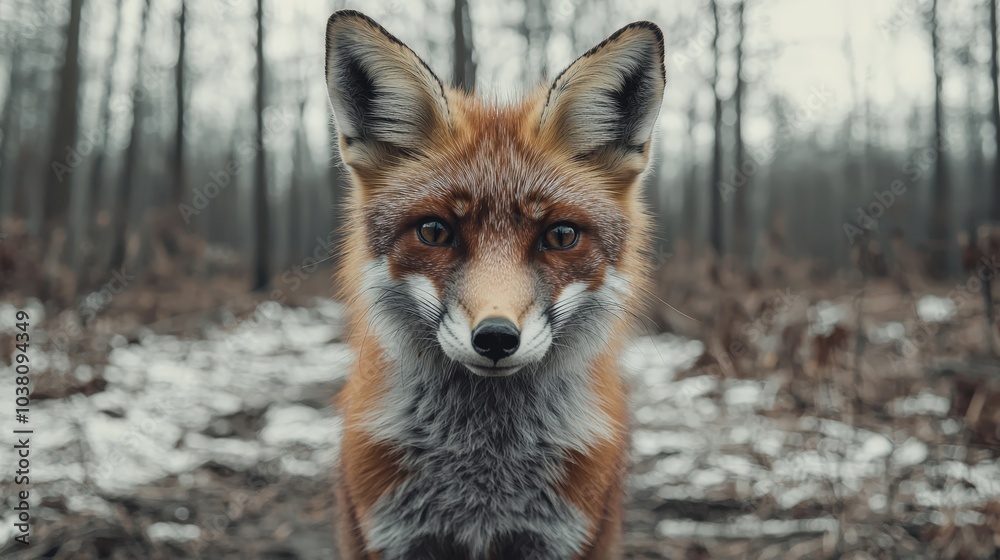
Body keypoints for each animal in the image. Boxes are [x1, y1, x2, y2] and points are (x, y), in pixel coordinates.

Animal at [325, 9, 665, 560]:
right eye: (434, 231)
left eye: (561, 235)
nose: (497, 339)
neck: (483, 473)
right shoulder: (395, 534)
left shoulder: (563, 536)